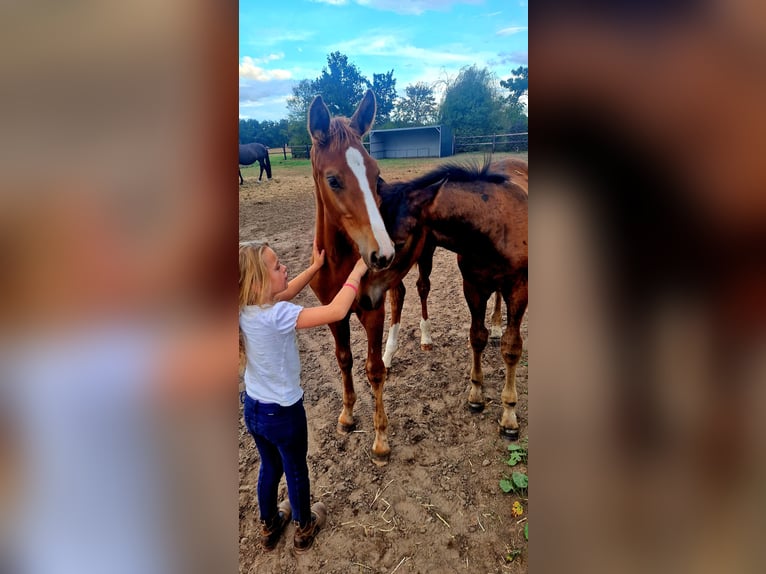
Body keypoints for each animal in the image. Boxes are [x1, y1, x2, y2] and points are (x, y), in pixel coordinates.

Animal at [379, 158, 528, 439]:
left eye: (400, 242)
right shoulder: (472, 286)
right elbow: (477, 337)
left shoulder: (519, 290)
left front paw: (509, 415)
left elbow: (512, 348)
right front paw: (476, 395)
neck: (494, 228)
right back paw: (495, 327)